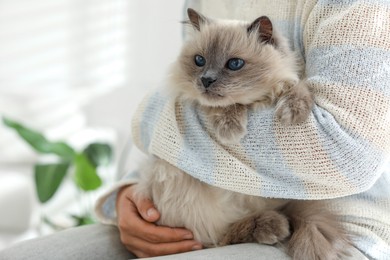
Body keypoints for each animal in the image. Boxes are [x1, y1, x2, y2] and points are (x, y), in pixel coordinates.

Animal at [133, 8, 350, 260]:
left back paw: (273, 226)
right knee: (218, 238)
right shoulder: (189, 97)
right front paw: (230, 129)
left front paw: (292, 113)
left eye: (234, 64)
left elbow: (299, 87)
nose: (206, 80)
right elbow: (223, 104)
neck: (258, 100)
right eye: (199, 60)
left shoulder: (289, 82)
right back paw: (272, 227)